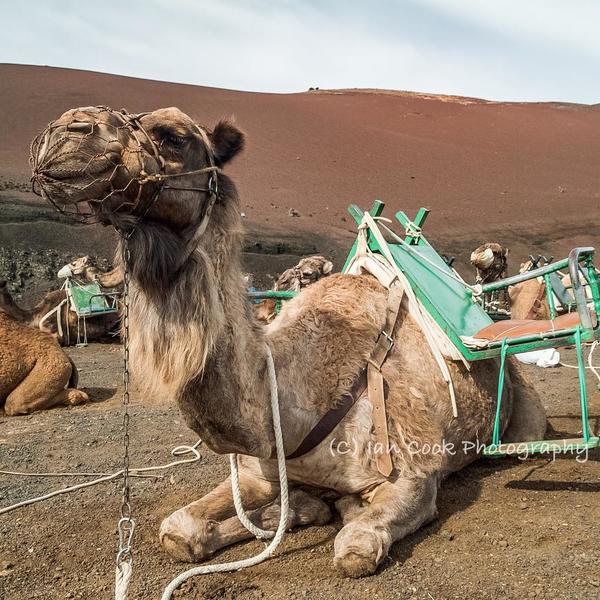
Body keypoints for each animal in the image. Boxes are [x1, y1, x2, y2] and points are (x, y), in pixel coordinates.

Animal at [32, 105, 548, 580]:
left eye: (173, 136)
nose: (65, 132)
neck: (298, 395)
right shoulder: (256, 470)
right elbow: (178, 529)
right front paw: (300, 508)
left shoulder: (414, 476)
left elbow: (355, 546)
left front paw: (325, 510)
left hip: (523, 422)